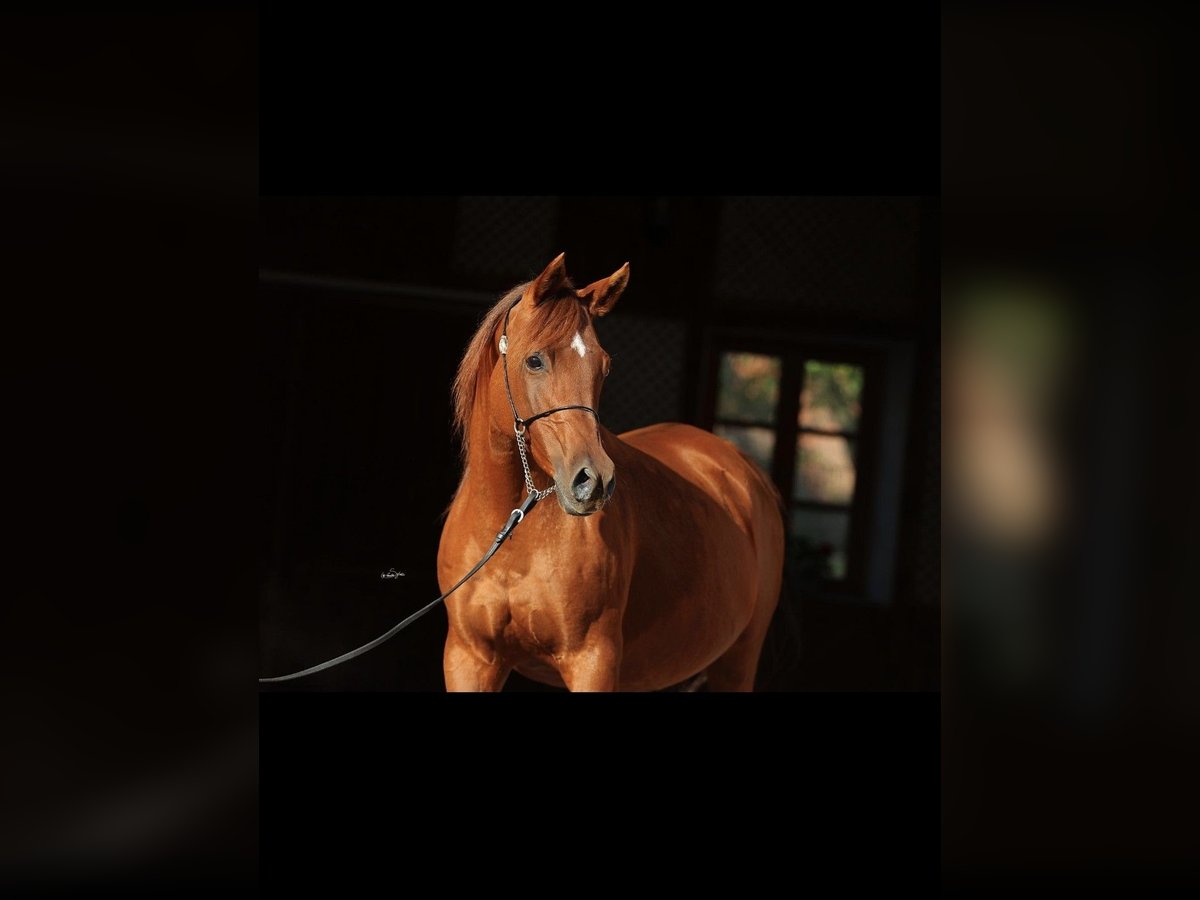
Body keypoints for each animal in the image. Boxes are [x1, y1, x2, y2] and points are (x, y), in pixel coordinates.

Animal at [437, 253, 786, 691]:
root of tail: (744, 470)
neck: (513, 535)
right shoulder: (471, 659)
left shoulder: (592, 660)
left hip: (736, 663)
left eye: (603, 367)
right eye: (535, 360)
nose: (594, 481)